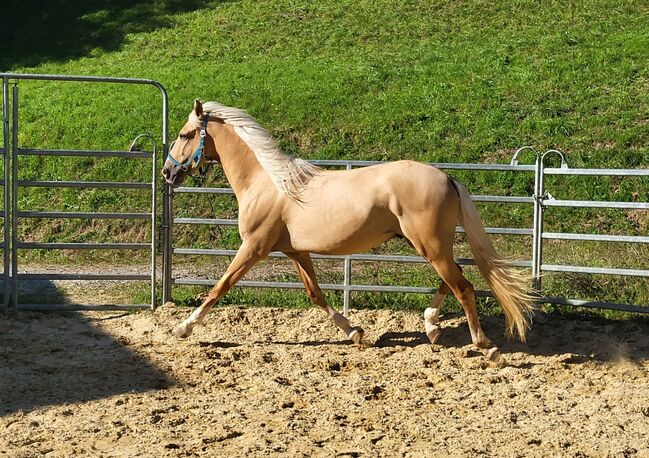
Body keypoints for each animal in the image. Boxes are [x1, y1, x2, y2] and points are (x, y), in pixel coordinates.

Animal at [165, 100, 536, 362]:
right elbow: (315, 293)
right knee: (454, 279)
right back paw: (431, 327)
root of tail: (447, 177)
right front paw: (354, 332)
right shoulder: (295, 250)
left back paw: (486, 346)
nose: (168, 172)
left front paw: (183, 327)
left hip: (430, 245)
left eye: (184, 135)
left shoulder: (254, 247)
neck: (269, 183)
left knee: (463, 286)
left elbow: (220, 287)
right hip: (428, 245)